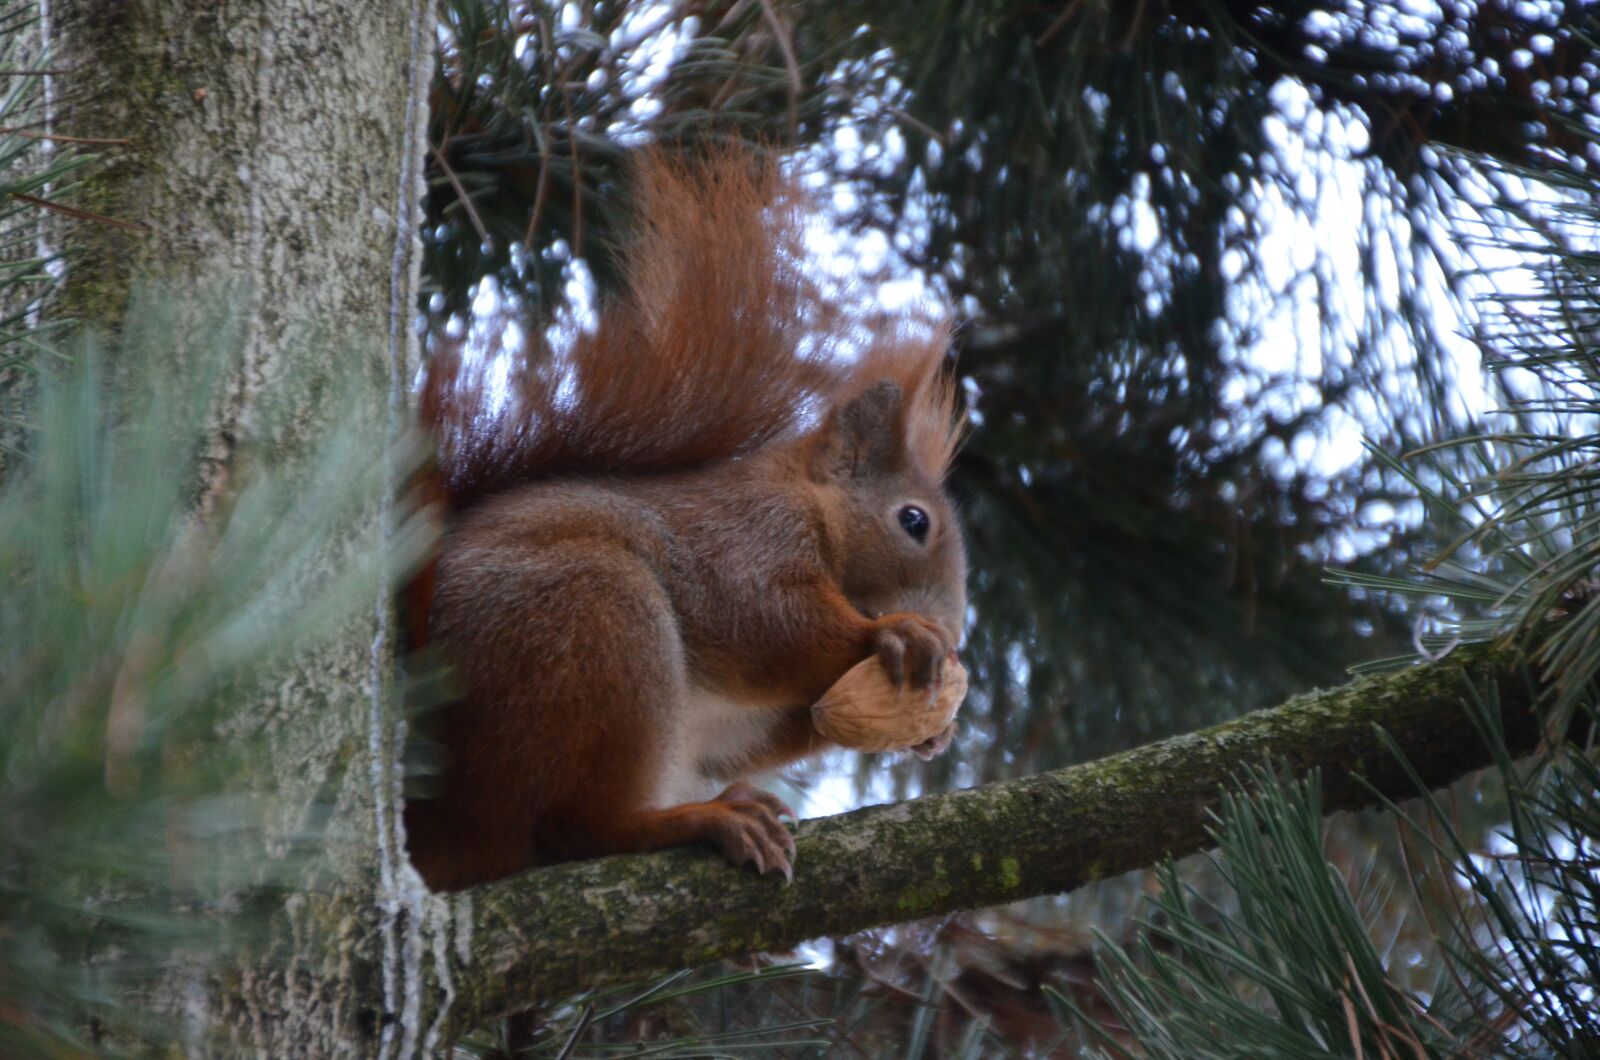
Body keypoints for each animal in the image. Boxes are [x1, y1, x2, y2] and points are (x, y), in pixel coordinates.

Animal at [402, 151, 967, 891]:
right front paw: (893, 634)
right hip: (591, 620)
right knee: (578, 829)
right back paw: (699, 820)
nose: (953, 630)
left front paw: (932, 727)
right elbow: (768, 624)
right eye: (913, 521)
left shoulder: (743, 719)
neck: (808, 505)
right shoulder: (743, 540)